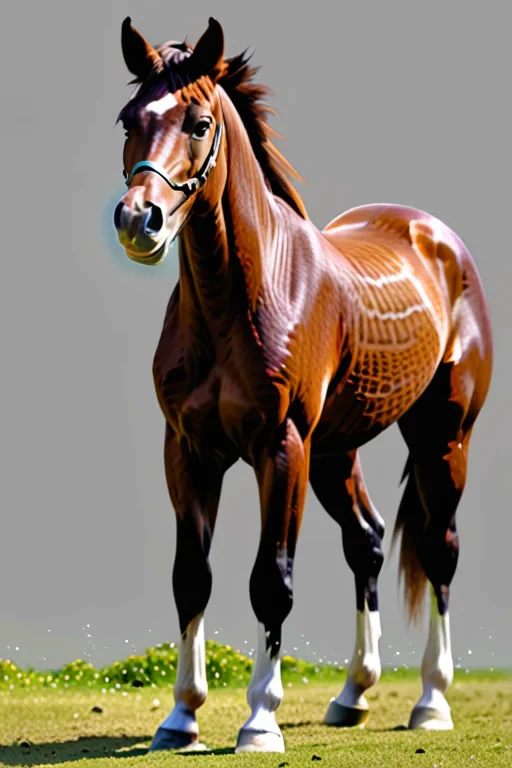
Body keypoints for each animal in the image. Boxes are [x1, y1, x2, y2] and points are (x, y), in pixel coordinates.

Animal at [112, 16, 493, 754]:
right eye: (126, 119)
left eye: (200, 122)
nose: (138, 221)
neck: (243, 298)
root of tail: (435, 234)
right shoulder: (189, 451)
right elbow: (190, 577)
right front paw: (181, 718)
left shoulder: (279, 448)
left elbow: (272, 581)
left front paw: (259, 719)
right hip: (336, 453)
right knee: (367, 542)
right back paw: (353, 694)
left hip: (442, 440)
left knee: (440, 551)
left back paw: (431, 700)